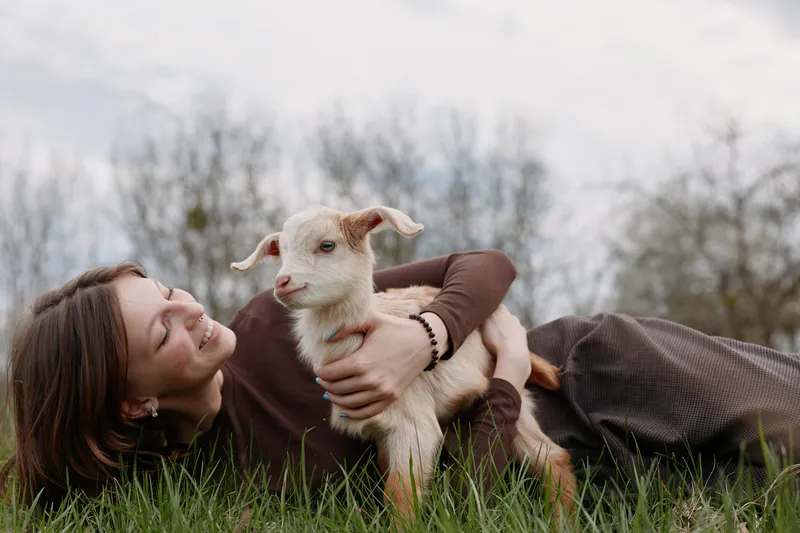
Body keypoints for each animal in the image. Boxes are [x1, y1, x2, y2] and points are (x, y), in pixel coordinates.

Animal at [231, 205, 576, 523]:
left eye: (327, 245)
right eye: (281, 251)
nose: (282, 283)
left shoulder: (414, 427)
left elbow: (401, 496)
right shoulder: (385, 434)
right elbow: (391, 484)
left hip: (516, 405)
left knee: (553, 458)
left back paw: (563, 520)